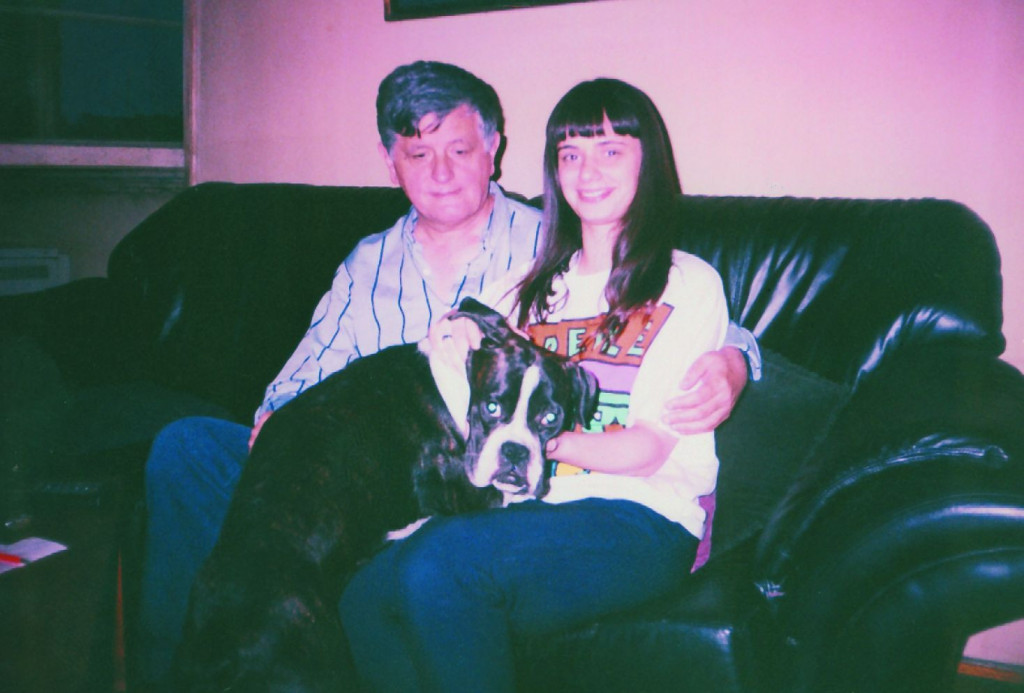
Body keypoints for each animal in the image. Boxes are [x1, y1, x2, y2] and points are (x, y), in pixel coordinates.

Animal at [172, 298, 598, 692]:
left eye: (550, 419)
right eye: (491, 407)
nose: (516, 453)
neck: (455, 382)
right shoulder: (472, 494)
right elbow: (549, 491)